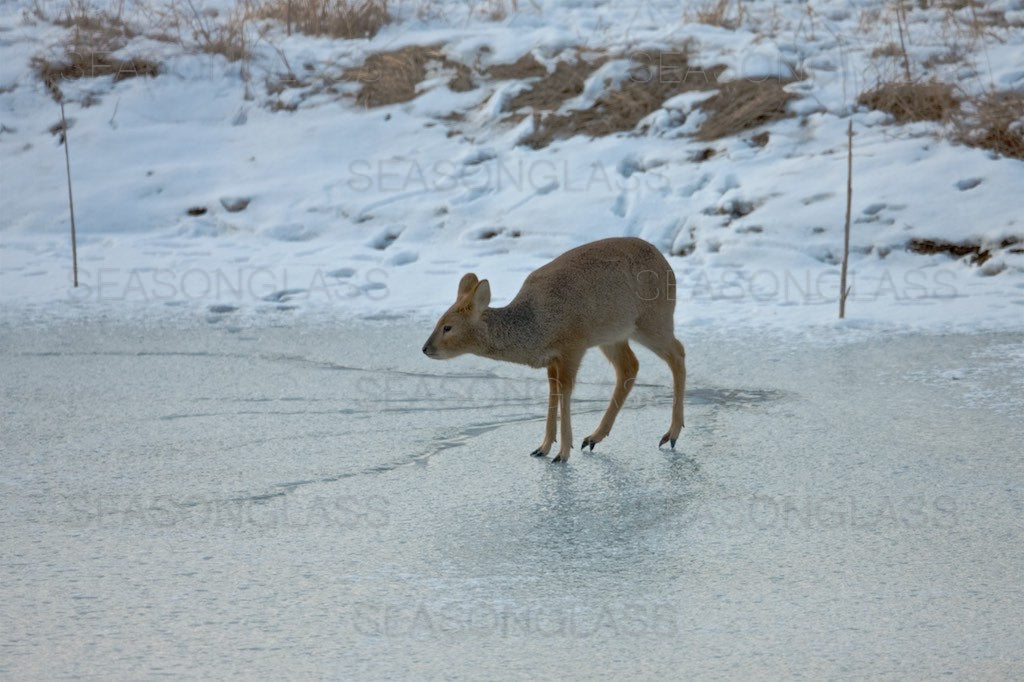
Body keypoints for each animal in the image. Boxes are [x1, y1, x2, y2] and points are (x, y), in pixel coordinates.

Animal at [419, 235, 692, 462]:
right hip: (613, 335)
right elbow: (553, 390)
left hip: (652, 320)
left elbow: (565, 391)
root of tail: (666, 262)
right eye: (438, 322)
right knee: (630, 366)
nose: (425, 348)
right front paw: (544, 447)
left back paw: (672, 433)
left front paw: (562, 453)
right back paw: (593, 437)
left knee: (677, 352)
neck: (536, 326)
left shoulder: (573, 346)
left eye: (448, 327)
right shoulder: (551, 359)